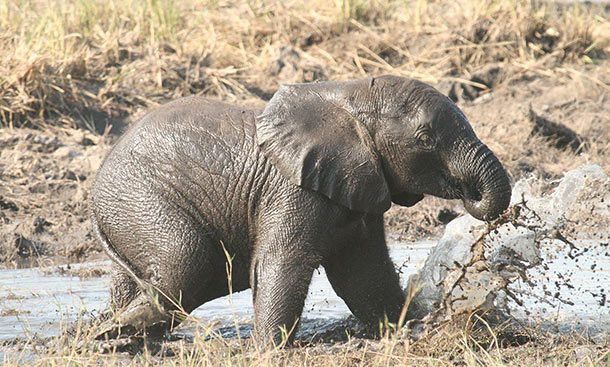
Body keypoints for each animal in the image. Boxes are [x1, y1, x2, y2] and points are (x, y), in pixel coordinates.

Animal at [89, 75, 508, 348]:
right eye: (424, 139)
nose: (468, 197)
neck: (348, 96)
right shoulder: (293, 190)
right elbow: (282, 262)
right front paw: (268, 350)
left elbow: (364, 275)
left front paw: (409, 329)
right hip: (140, 197)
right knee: (187, 261)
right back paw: (110, 334)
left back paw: (121, 337)